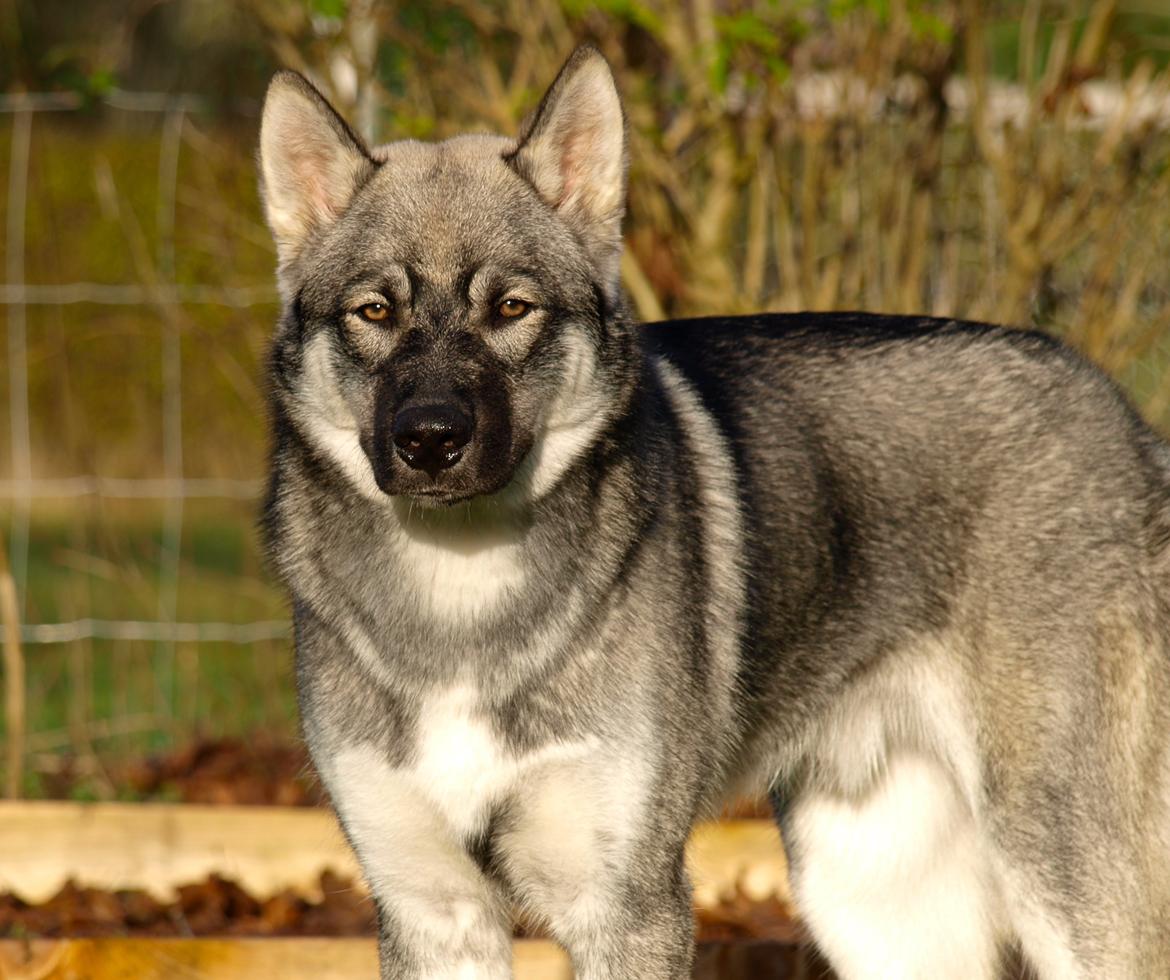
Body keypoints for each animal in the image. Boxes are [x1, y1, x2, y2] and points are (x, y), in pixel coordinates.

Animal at [258, 45, 1170, 980]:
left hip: (1063, 872)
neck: (460, 596)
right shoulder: (431, 911)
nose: (430, 438)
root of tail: (1123, 417)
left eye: (511, 308)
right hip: (870, 898)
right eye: (375, 311)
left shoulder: (627, 908)